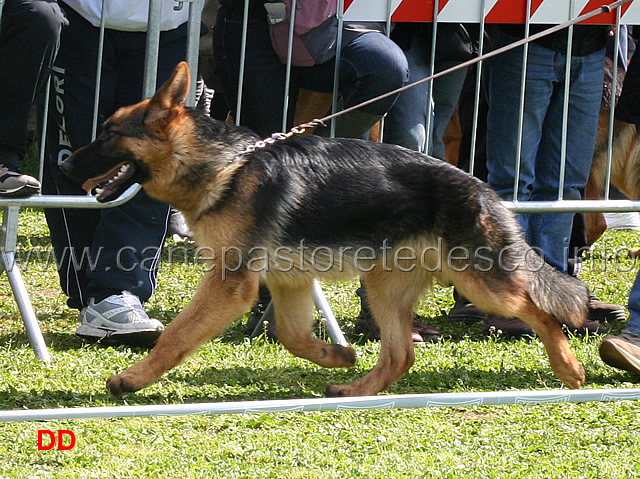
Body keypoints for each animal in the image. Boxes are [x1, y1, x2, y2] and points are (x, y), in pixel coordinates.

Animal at [61, 62, 592, 396]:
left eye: (108, 134)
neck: (225, 165)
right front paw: (338, 354)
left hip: (481, 286)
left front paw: (131, 380)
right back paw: (354, 386)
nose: (65, 166)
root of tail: (484, 189)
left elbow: (174, 336)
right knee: (400, 355)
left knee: (541, 310)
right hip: (384, 287)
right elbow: (292, 336)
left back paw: (569, 368)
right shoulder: (287, 282)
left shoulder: (231, 285)